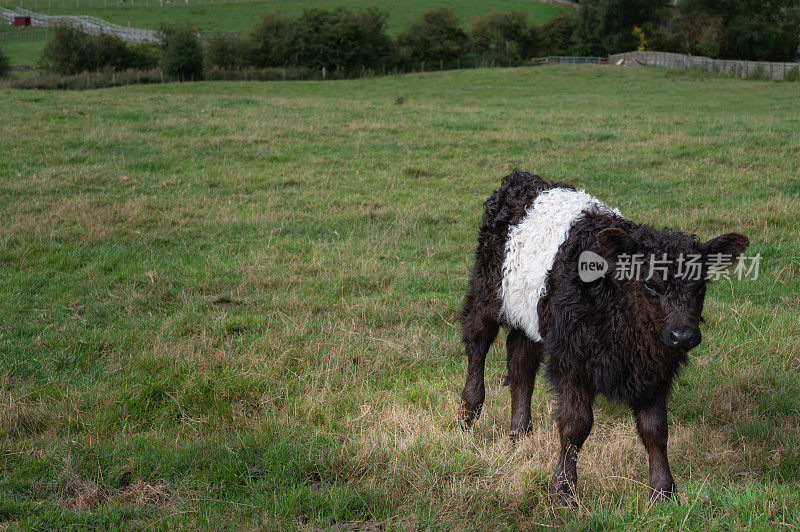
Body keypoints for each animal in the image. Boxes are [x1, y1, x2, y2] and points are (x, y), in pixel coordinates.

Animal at [456, 170, 752, 502]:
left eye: (700, 288)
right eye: (651, 286)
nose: (682, 335)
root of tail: (520, 179)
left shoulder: (655, 370)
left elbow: (655, 429)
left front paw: (663, 490)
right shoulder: (571, 358)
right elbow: (576, 424)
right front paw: (563, 490)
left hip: (528, 312)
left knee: (520, 366)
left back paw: (519, 436)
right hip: (487, 290)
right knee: (477, 342)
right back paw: (467, 415)